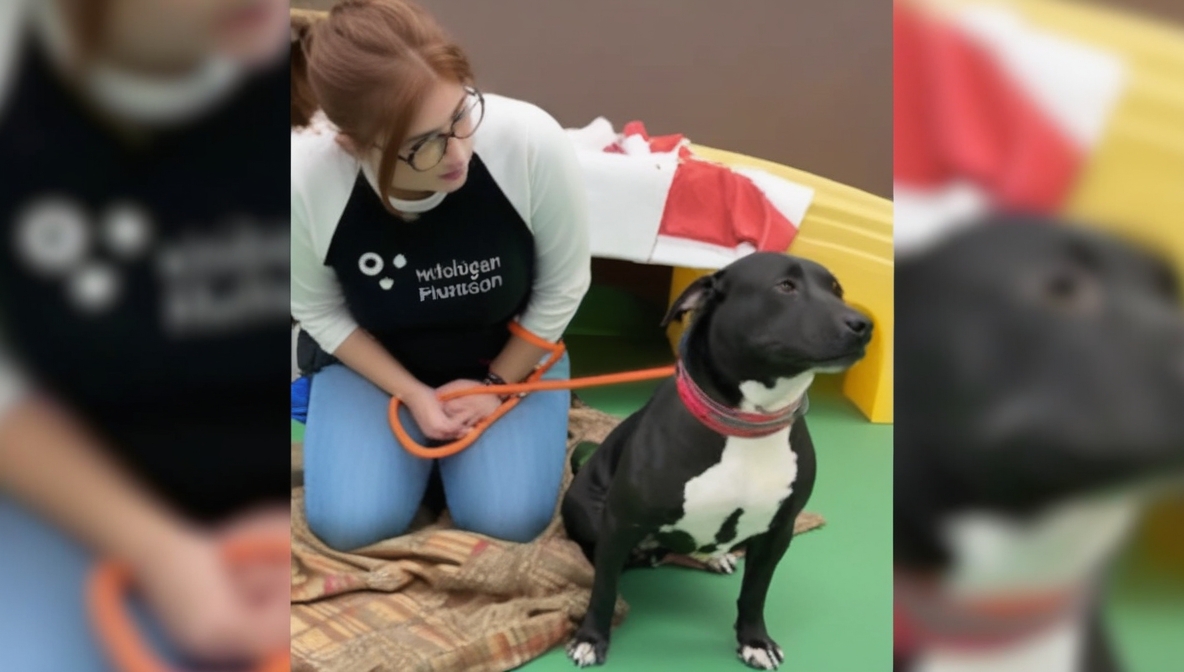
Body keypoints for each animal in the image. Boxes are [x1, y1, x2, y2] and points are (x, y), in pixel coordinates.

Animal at [558, 251, 876, 667]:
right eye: (785, 286)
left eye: (836, 289)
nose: (864, 325)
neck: (747, 424)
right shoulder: (621, 523)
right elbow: (604, 589)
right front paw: (591, 638)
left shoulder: (778, 532)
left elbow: (755, 593)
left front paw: (755, 641)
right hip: (588, 511)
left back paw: (714, 557)